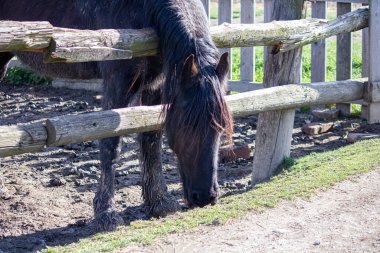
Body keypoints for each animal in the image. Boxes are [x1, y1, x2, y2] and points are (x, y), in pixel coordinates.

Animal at [0, 0, 233, 231]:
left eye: (222, 126)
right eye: (187, 124)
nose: (205, 196)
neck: (144, 10)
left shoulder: (156, 86)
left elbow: (151, 141)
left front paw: (159, 202)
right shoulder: (117, 84)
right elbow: (111, 145)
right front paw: (106, 213)